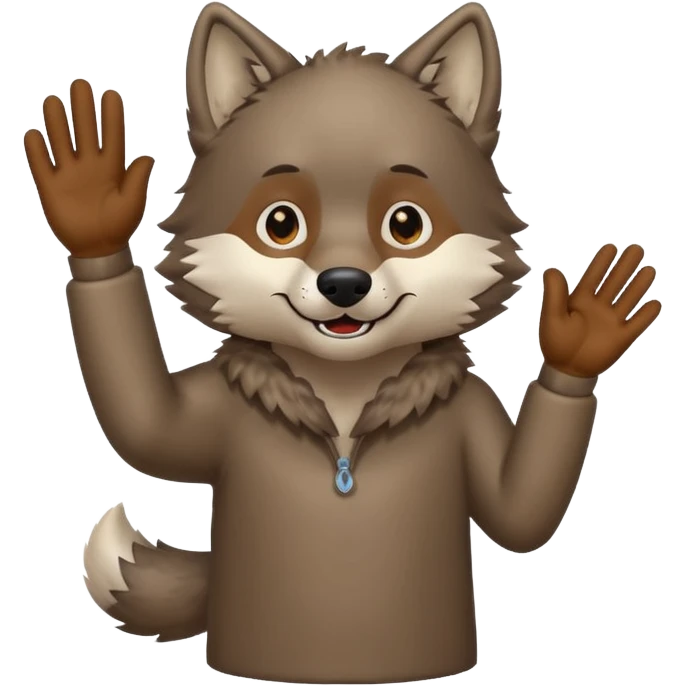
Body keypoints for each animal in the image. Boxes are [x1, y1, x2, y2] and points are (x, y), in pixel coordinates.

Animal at [24, 0, 662, 682]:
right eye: (281, 223)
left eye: (406, 223)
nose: (345, 284)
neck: (346, 389)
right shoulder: (211, 409)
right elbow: (144, 424)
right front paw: (90, 211)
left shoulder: (474, 408)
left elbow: (517, 512)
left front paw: (582, 337)